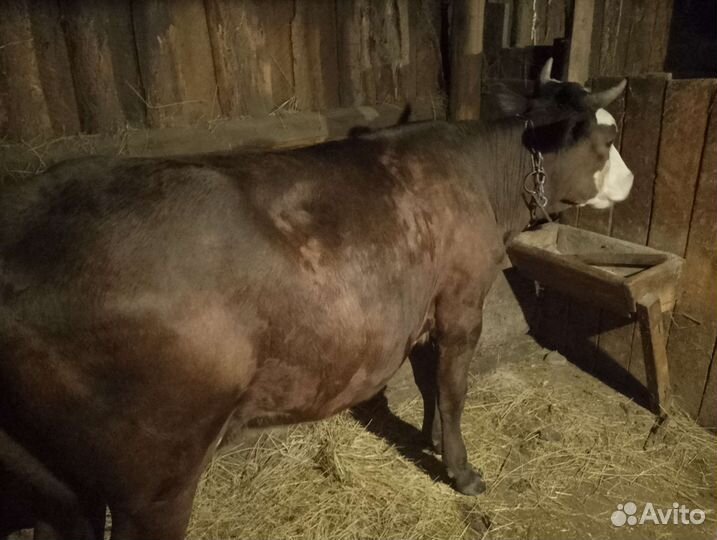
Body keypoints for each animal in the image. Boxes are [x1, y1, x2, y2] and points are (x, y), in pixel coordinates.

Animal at [0, 60, 632, 539]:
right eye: (606, 140)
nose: (628, 181)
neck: (483, 178)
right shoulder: (461, 299)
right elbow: (453, 390)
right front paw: (461, 471)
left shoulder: (424, 306)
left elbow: (429, 380)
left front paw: (427, 441)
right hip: (155, 478)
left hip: (57, 486)